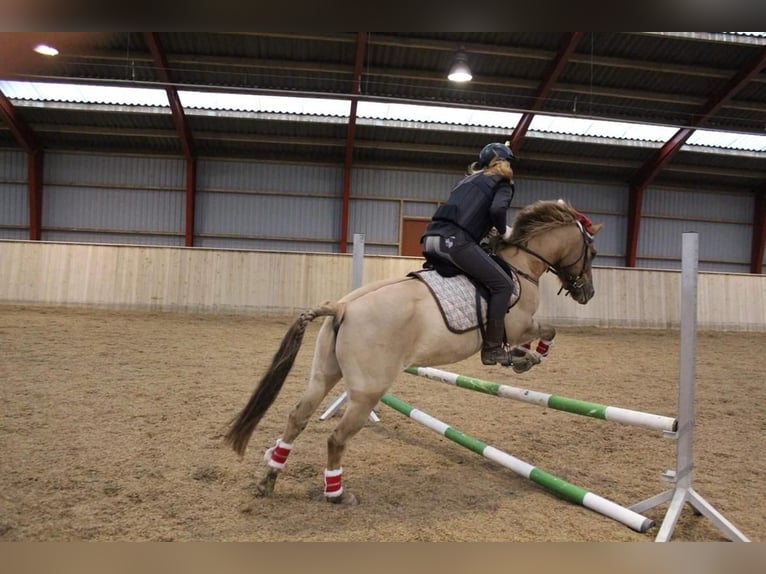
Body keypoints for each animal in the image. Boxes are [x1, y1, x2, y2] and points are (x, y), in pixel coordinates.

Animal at [225, 200, 604, 506]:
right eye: (593, 254)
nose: (587, 293)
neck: (521, 266)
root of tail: (342, 307)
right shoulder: (519, 324)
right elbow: (547, 332)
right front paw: (529, 356)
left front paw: (523, 357)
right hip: (368, 391)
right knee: (337, 438)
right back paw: (337, 494)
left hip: (324, 376)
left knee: (297, 418)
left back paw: (268, 480)